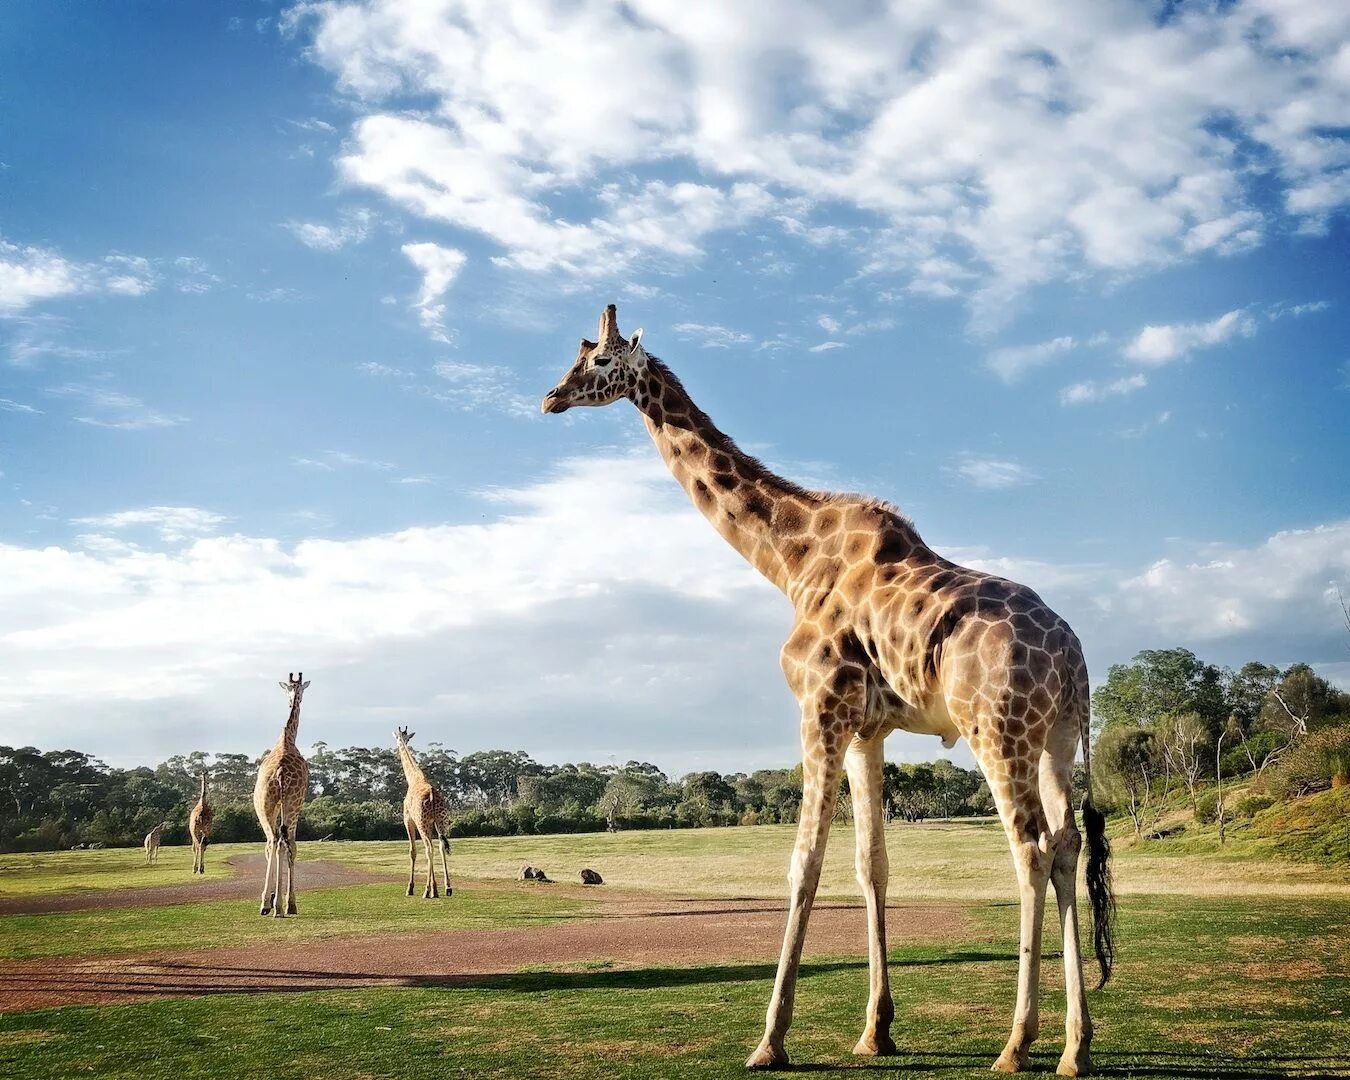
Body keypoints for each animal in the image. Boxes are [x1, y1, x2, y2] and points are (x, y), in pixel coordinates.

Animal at [391, 729, 453, 896]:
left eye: (399, 738)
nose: (395, 749)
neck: (414, 779)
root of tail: (432, 796)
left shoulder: (408, 820)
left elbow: (412, 851)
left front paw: (411, 888)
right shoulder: (432, 822)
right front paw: (435, 887)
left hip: (422, 823)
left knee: (429, 849)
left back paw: (427, 891)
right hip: (442, 821)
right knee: (441, 846)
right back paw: (447, 888)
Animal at [540, 307, 1117, 1074]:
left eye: (601, 361)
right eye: (577, 355)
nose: (551, 398)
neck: (791, 560)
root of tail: (1074, 659)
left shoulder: (821, 704)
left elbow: (803, 865)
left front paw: (769, 1040)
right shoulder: (869, 728)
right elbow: (872, 866)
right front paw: (876, 1030)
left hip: (998, 728)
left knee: (1029, 850)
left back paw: (1017, 1045)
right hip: (1056, 736)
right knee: (1065, 846)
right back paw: (1075, 1047)